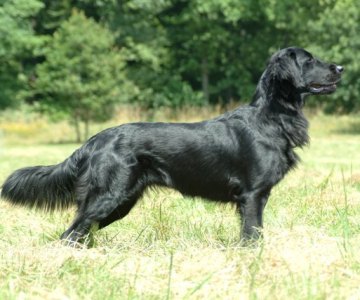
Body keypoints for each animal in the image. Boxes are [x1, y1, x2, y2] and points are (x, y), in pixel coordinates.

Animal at [0, 47, 344, 244]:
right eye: (309, 60)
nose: (340, 68)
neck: (270, 116)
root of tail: (94, 140)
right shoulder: (252, 194)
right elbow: (253, 234)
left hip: (121, 201)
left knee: (80, 232)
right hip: (109, 196)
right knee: (70, 233)